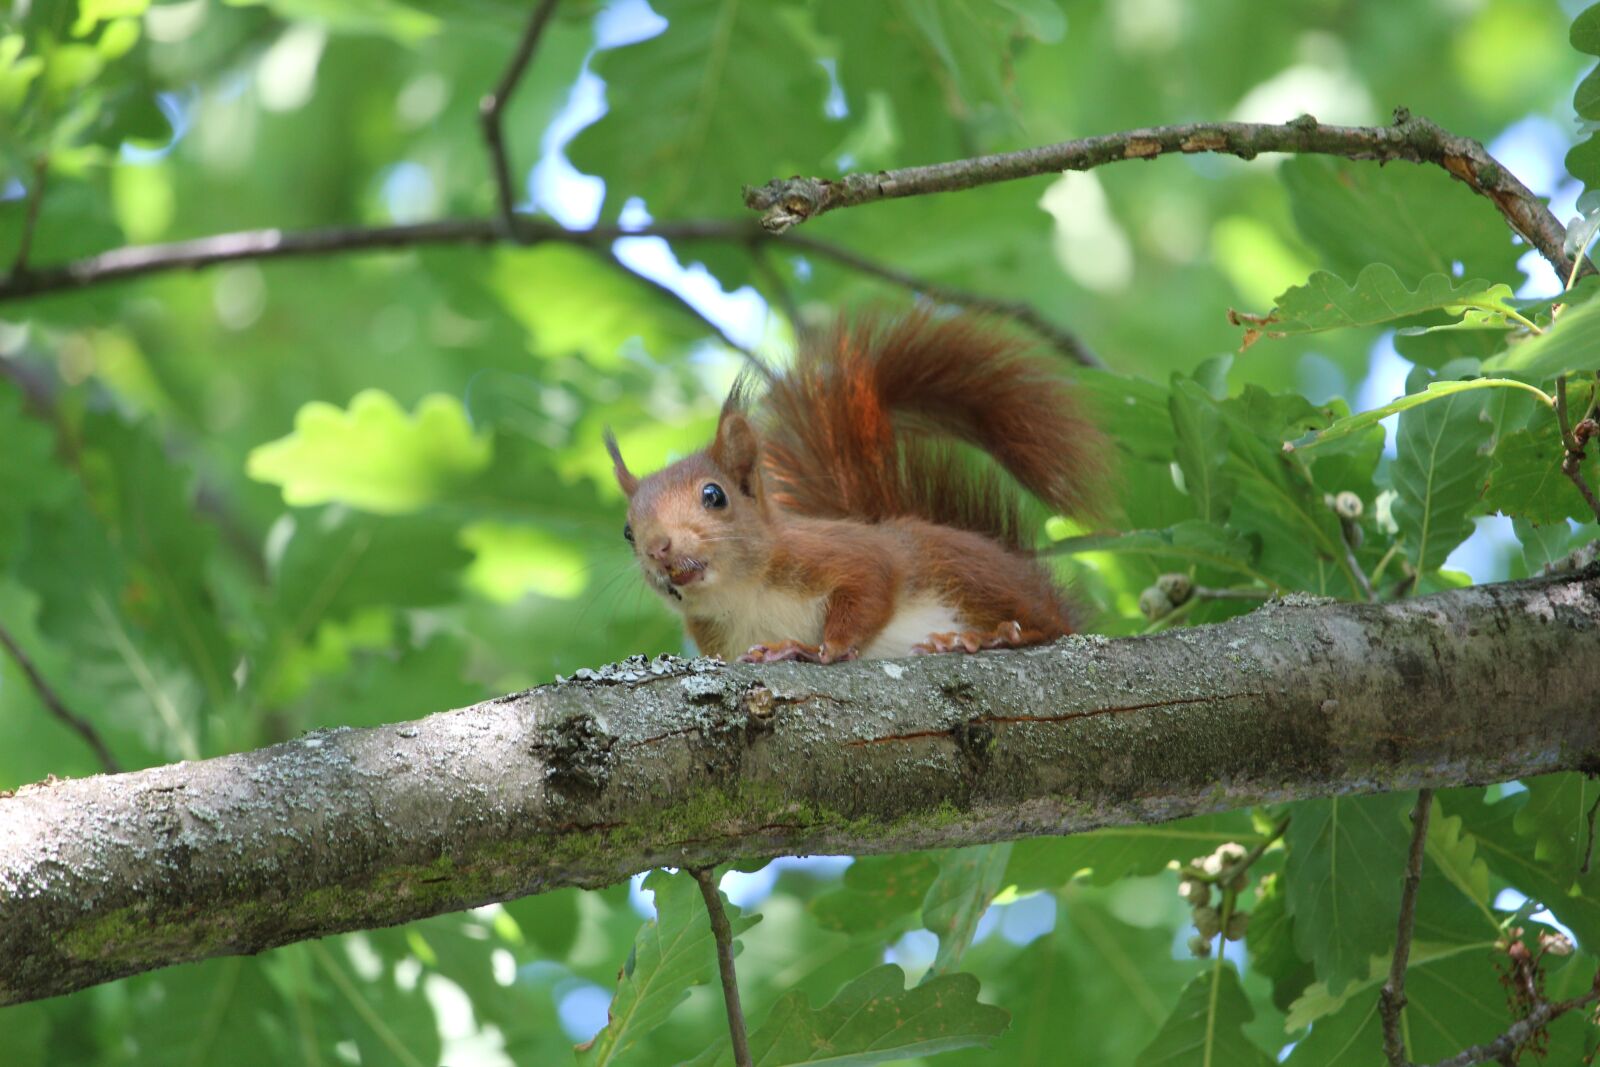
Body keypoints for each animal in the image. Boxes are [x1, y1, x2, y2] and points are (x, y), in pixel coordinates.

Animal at [604, 313, 1108, 664]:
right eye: (627, 532)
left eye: (714, 496)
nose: (658, 548)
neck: (743, 596)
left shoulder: (837, 552)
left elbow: (871, 585)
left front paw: (813, 649)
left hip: (966, 568)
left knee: (1049, 623)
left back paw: (998, 634)